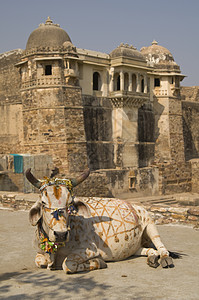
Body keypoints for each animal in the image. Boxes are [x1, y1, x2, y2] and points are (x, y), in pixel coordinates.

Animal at [26, 168, 176, 274]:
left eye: (70, 204)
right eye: (43, 203)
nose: (61, 234)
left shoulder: (89, 250)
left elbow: (67, 265)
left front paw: (99, 262)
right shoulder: (40, 253)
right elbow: (39, 261)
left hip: (150, 224)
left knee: (161, 247)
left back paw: (164, 259)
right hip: (134, 247)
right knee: (149, 250)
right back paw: (152, 258)